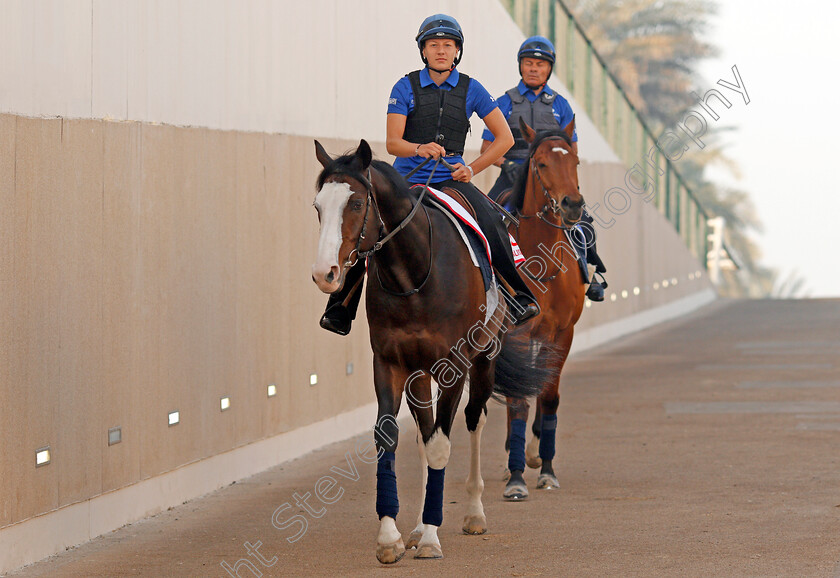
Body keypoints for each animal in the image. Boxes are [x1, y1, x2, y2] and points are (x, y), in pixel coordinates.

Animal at [312, 140, 556, 564]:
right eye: (317, 207)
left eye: (356, 203)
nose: (324, 273)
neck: (414, 272)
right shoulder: (389, 363)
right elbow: (390, 437)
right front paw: (391, 536)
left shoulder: (454, 363)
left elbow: (442, 445)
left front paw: (430, 537)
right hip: (420, 372)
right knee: (424, 431)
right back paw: (417, 525)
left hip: (483, 358)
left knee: (474, 420)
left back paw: (473, 514)